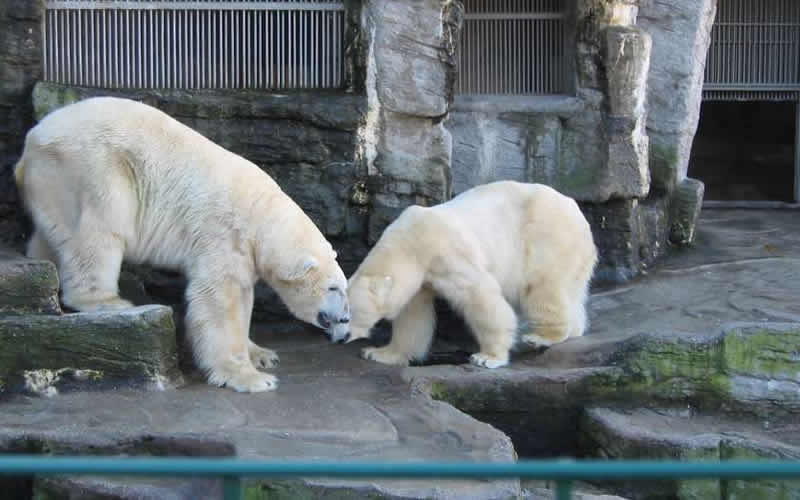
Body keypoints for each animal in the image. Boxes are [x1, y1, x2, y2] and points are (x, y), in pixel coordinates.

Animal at [14, 96, 350, 390]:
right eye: (333, 288)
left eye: (342, 287)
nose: (346, 321)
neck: (261, 213)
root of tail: (32, 140)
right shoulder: (224, 232)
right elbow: (219, 298)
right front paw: (251, 378)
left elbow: (242, 299)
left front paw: (261, 354)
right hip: (92, 165)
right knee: (101, 226)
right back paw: (106, 301)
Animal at [344, 182, 600, 370]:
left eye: (349, 314)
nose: (342, 337)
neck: (409, 242)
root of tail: (577, 212)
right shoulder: (420, 276)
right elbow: (413, 315)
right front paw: (380, 353)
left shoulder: (447, 254)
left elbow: (480, 297)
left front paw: (488, 357)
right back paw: (573, 329)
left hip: (547, 239)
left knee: (542, 287)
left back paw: (542, 336)